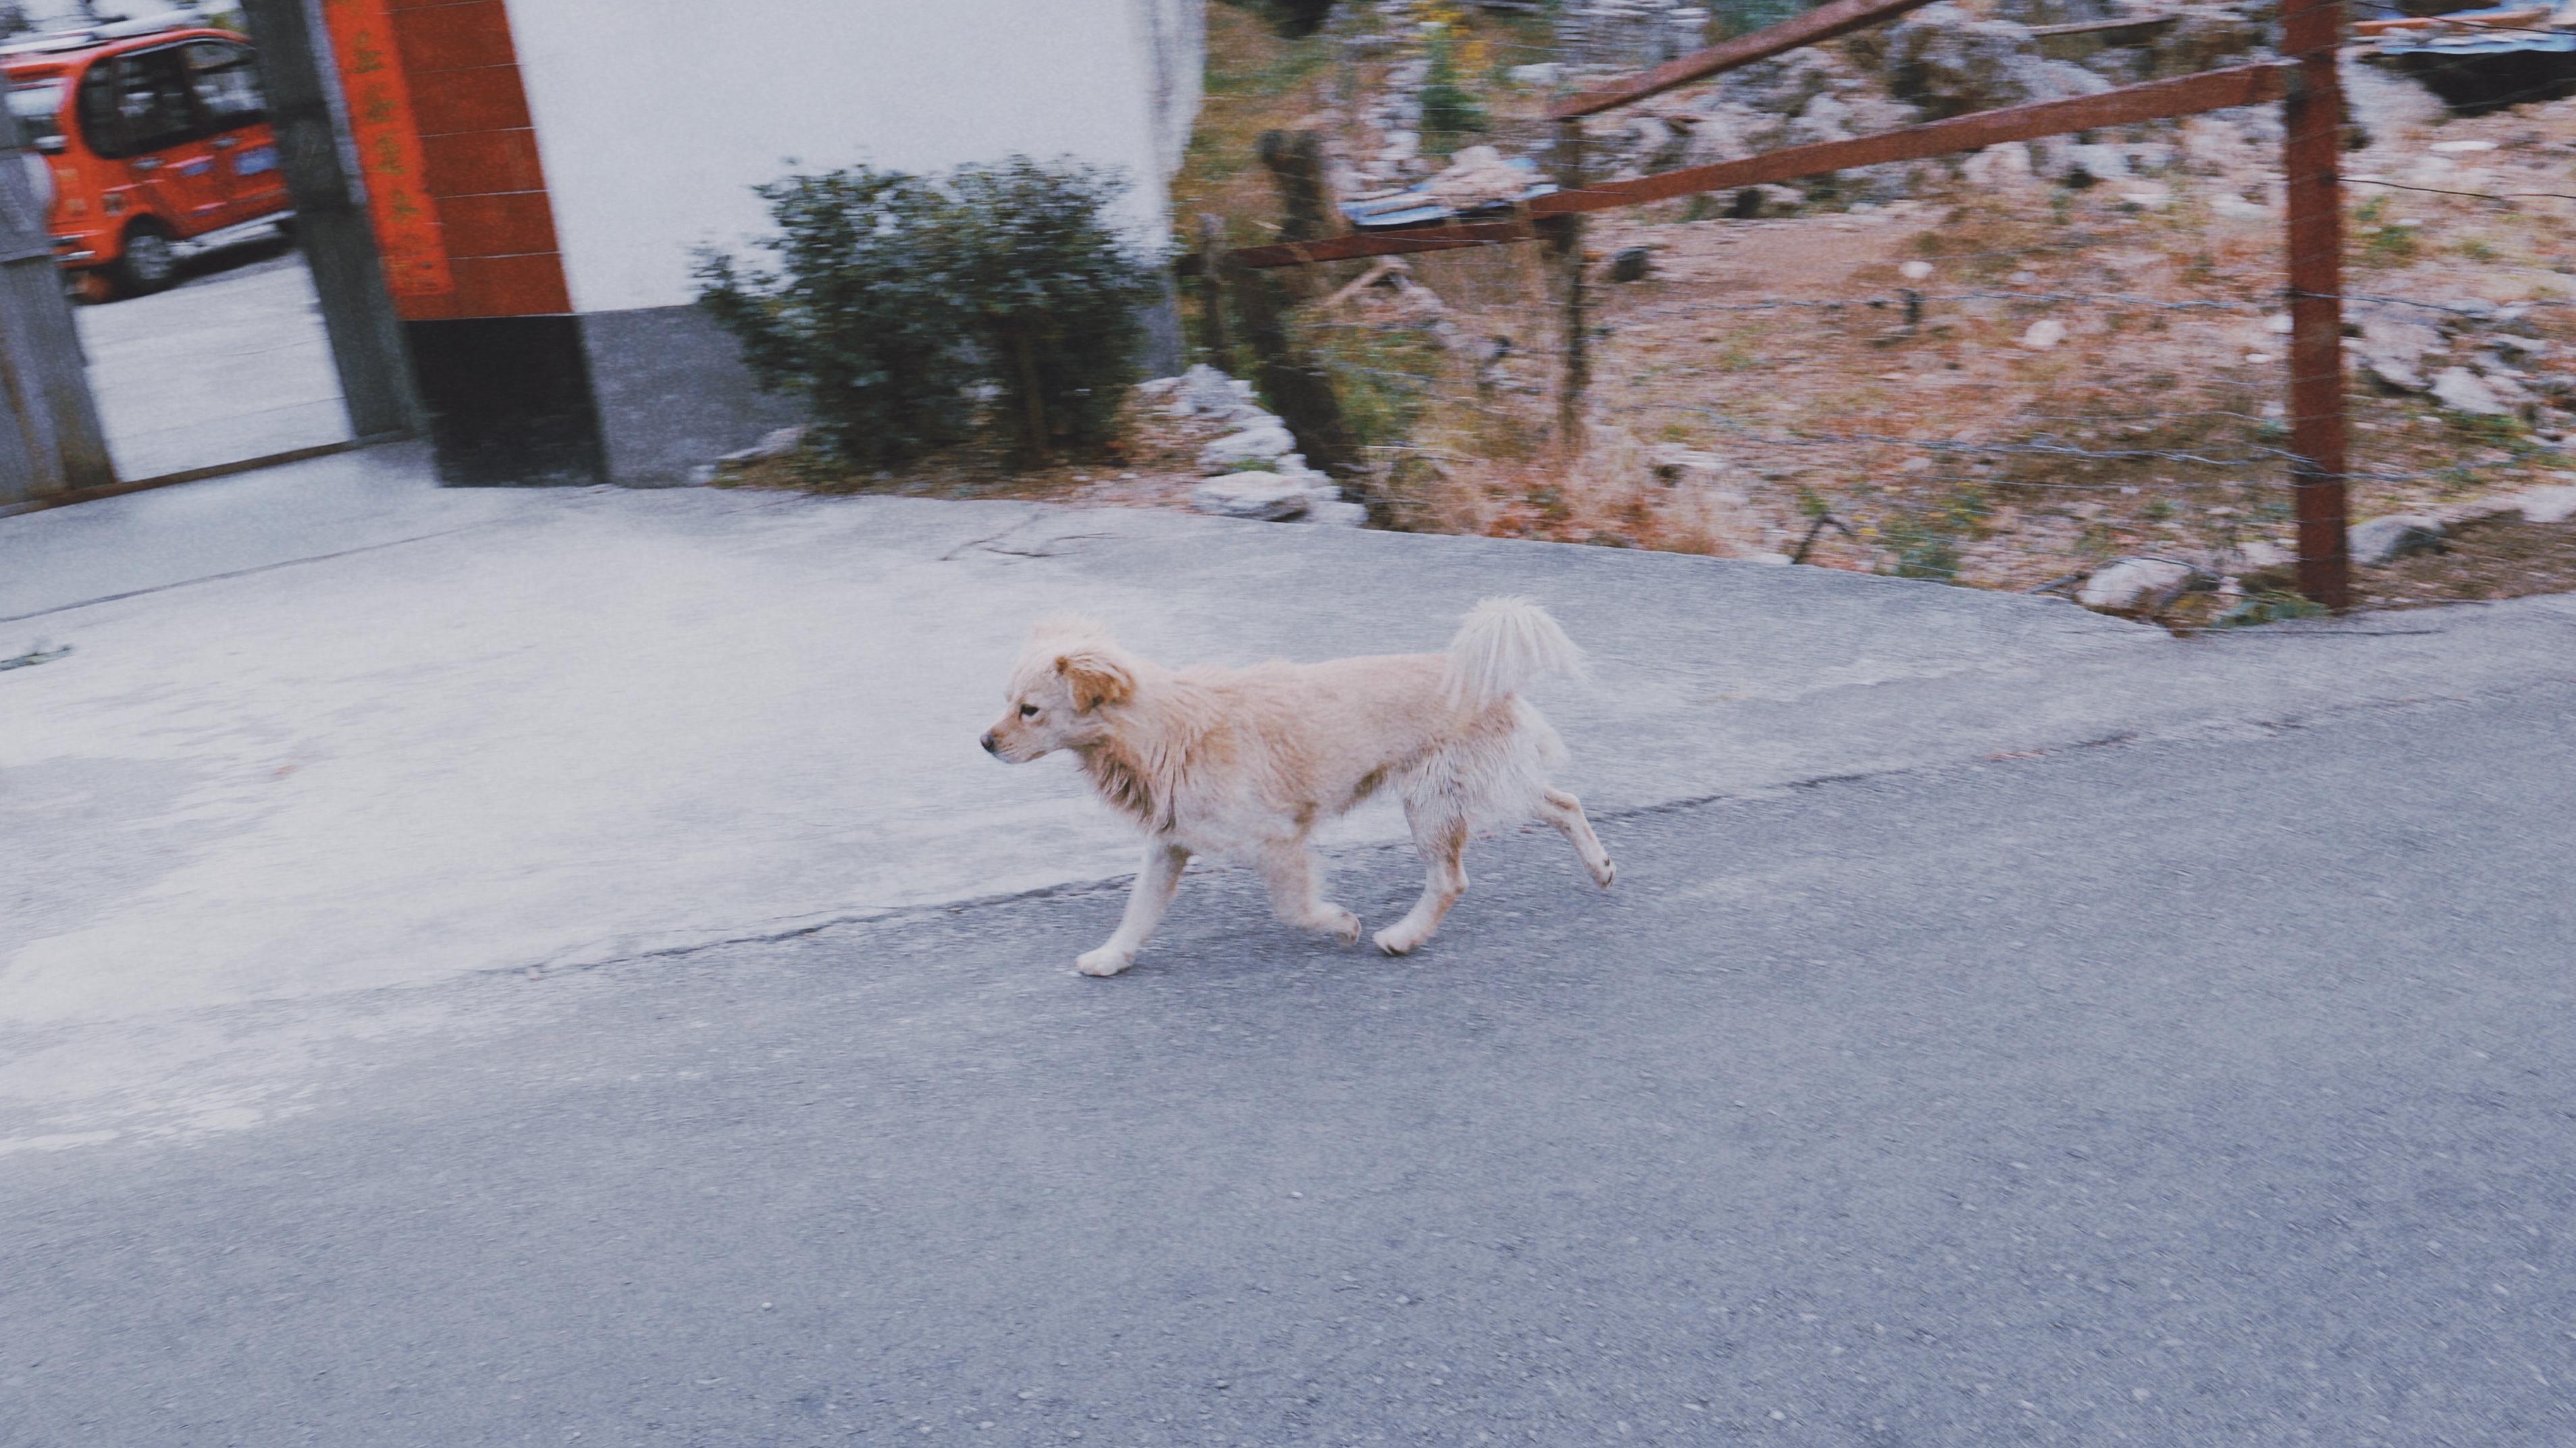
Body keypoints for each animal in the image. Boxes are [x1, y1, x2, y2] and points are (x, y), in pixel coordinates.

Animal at [978, 592, 1607, 973]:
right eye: (1006, 700)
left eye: (1029, 710)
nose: (984, 743)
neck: (1163, 730)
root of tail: (1484, 679)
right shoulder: (1168, 845)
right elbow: (1138, 910)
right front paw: (1112, 956)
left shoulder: (1277, 841)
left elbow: (1294, 907)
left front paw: (1341, 923)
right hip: (1484, 782)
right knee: (1563, 801)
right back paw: (1600, 867)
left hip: (1430, 799)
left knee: (1450, 879)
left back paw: (1402, 935)